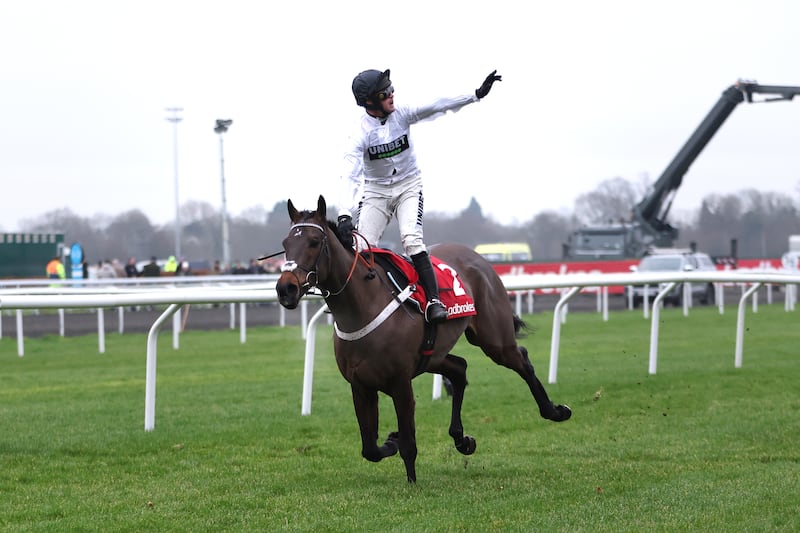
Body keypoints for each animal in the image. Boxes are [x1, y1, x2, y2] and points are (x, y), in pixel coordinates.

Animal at [276, 195, 568, 482]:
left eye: (314, 242)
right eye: (286, 244)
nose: (285, 289)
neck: (363, 307)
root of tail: (478, 257)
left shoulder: (400, 383)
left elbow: (408, 443)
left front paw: (412, 481)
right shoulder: (360, 385)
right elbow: (369, 448)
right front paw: (391, 440)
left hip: (494, 340)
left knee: (521, 359)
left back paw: (554, 410)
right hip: (433, 356)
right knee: (460, 369)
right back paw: (462, 440)